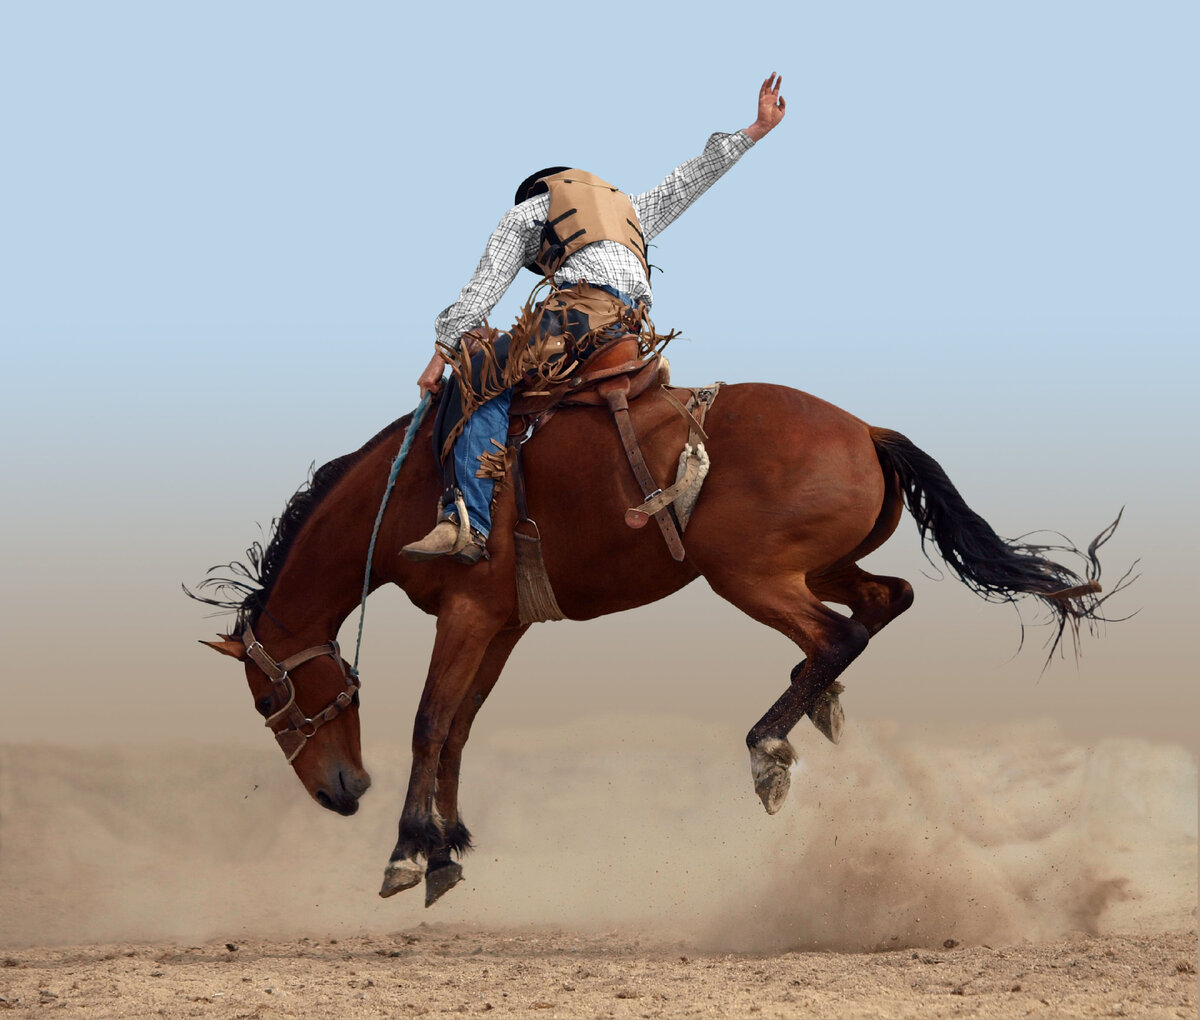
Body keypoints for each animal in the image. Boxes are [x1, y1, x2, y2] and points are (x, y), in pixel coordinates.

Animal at [192, 386, 1118, 902]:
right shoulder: (501, 623)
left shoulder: (466, 614)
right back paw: (808, 708)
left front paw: (407, 849)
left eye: (270, 700)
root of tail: (864, 430)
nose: (341, 793)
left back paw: (770, 745)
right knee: (887, 600)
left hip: (749, 573)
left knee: (841, 632)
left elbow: (428, 722)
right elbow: (457, 726)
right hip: (818, 564)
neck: (418, 484)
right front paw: (447, 847)